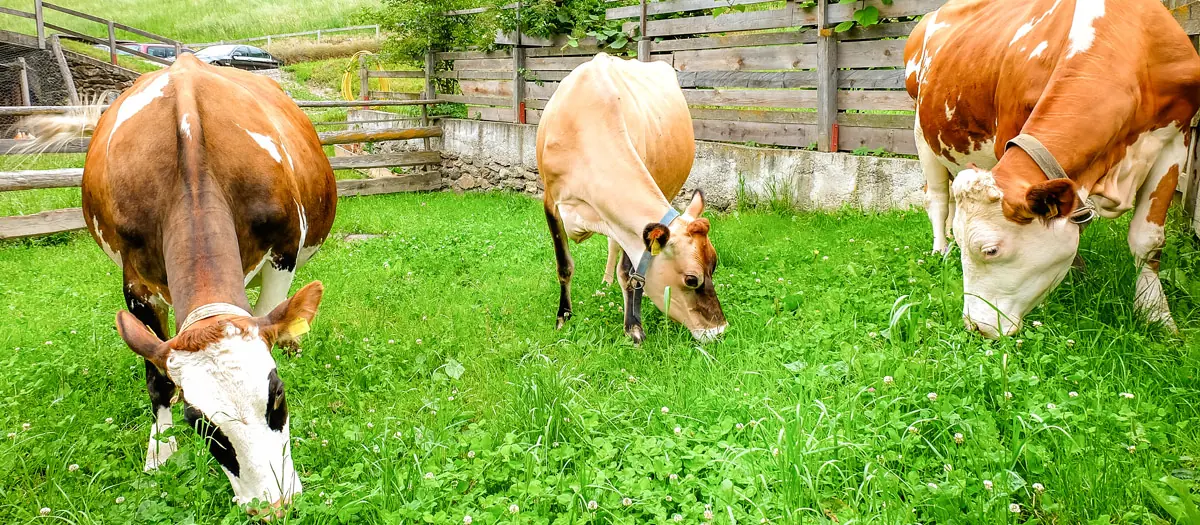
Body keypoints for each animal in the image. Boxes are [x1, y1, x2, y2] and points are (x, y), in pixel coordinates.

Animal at [24, 54, 337, 513]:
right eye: (198, 422)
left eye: (277, 395)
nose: (273, 506)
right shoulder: (137, 283)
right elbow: (158, 378)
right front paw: (160, 452)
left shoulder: (284, 254)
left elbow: (272, 316)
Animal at [537, 53, 727, 343]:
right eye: (691, 279)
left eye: (714, 267)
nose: (718, 330)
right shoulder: (551, 202)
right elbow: (564, 266)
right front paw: (563, 317)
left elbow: (630, 273)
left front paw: (633, 326)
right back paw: (605, 282)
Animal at [905, 0, 1200, 337]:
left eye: (990, 250)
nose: (977, 327)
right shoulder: (1011, 132)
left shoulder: (1175, 139)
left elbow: (1147, 238)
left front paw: (1156, 314)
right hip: (921, 131)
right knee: (938, 199)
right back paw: (940, 250)